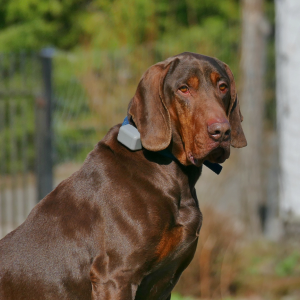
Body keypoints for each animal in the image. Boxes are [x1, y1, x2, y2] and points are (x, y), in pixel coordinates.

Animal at [0, 52, 246, 298]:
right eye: (184, 89)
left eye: (223, 87)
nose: (222, 131)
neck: (171, 172)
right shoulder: (115, 277)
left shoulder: (164, 283)